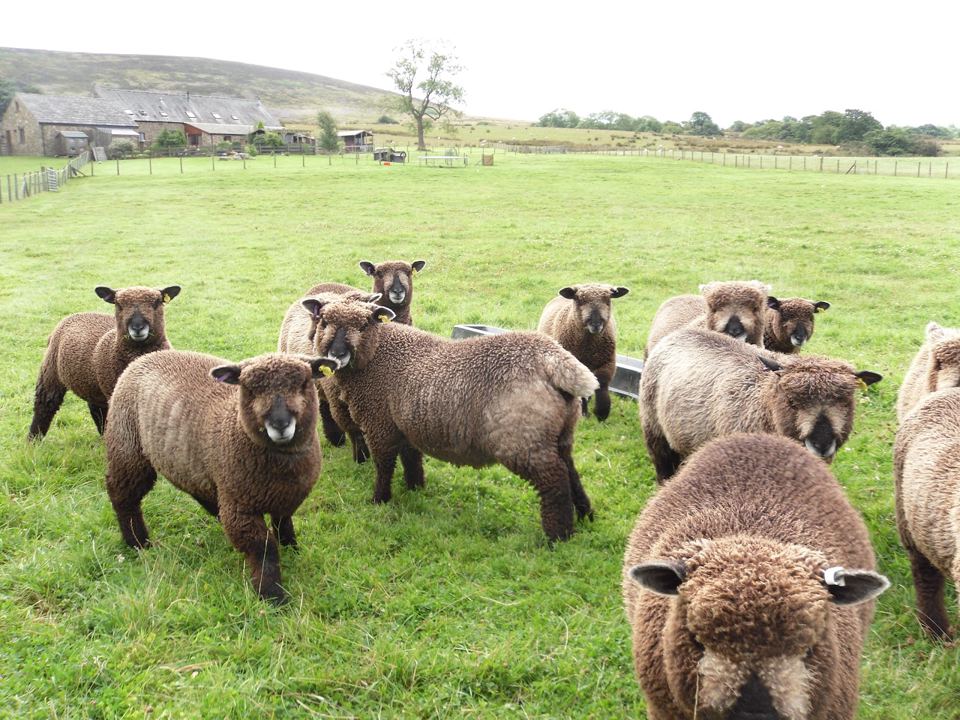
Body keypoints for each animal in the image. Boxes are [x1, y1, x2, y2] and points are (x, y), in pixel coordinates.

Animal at [28, 285, 181, 440]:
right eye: (118, 304)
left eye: (157, 302)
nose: (137, 327)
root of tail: (78, 314)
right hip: (51, 370)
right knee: (45, 403)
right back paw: (34, 440)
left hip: (92, 384)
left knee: (96, 409)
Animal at [103, 350, 337, 604]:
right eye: (249, 389)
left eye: (303, 383)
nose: (280, 424)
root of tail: (145, 357)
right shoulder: (240, 507)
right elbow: (263, 548)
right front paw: (272, 595)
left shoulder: (286, 498)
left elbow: (283, 524)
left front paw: (292, 549)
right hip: (128, 448)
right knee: (123, 496)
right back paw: (137, 542)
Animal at [308, 296, 599, 542]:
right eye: (324, 321)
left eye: (365, 324)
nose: (337, 354)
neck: (377, 353)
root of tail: (555, 361)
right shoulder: (404, 426)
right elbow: (411, 459)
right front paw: (415, 489)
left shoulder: (379, 425)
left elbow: (384, 465)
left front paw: (380, 499)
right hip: (560, 435)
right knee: (570, 471)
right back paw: (586, 516)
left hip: (523, 439)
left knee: (555, 480)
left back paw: (558, 536)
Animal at [537, 283, 629, 421]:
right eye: (579, 300)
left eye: (608, 301)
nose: (596, 323)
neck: (588, 349)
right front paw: (584, 413)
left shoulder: (607, 362)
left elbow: (602, 383)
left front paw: (602, 413)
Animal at [640, 328, 881, 482]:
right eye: (791, 401)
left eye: (846, 400)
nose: (821, 443)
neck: (763, 402)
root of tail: (678, 333)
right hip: (654, 429)